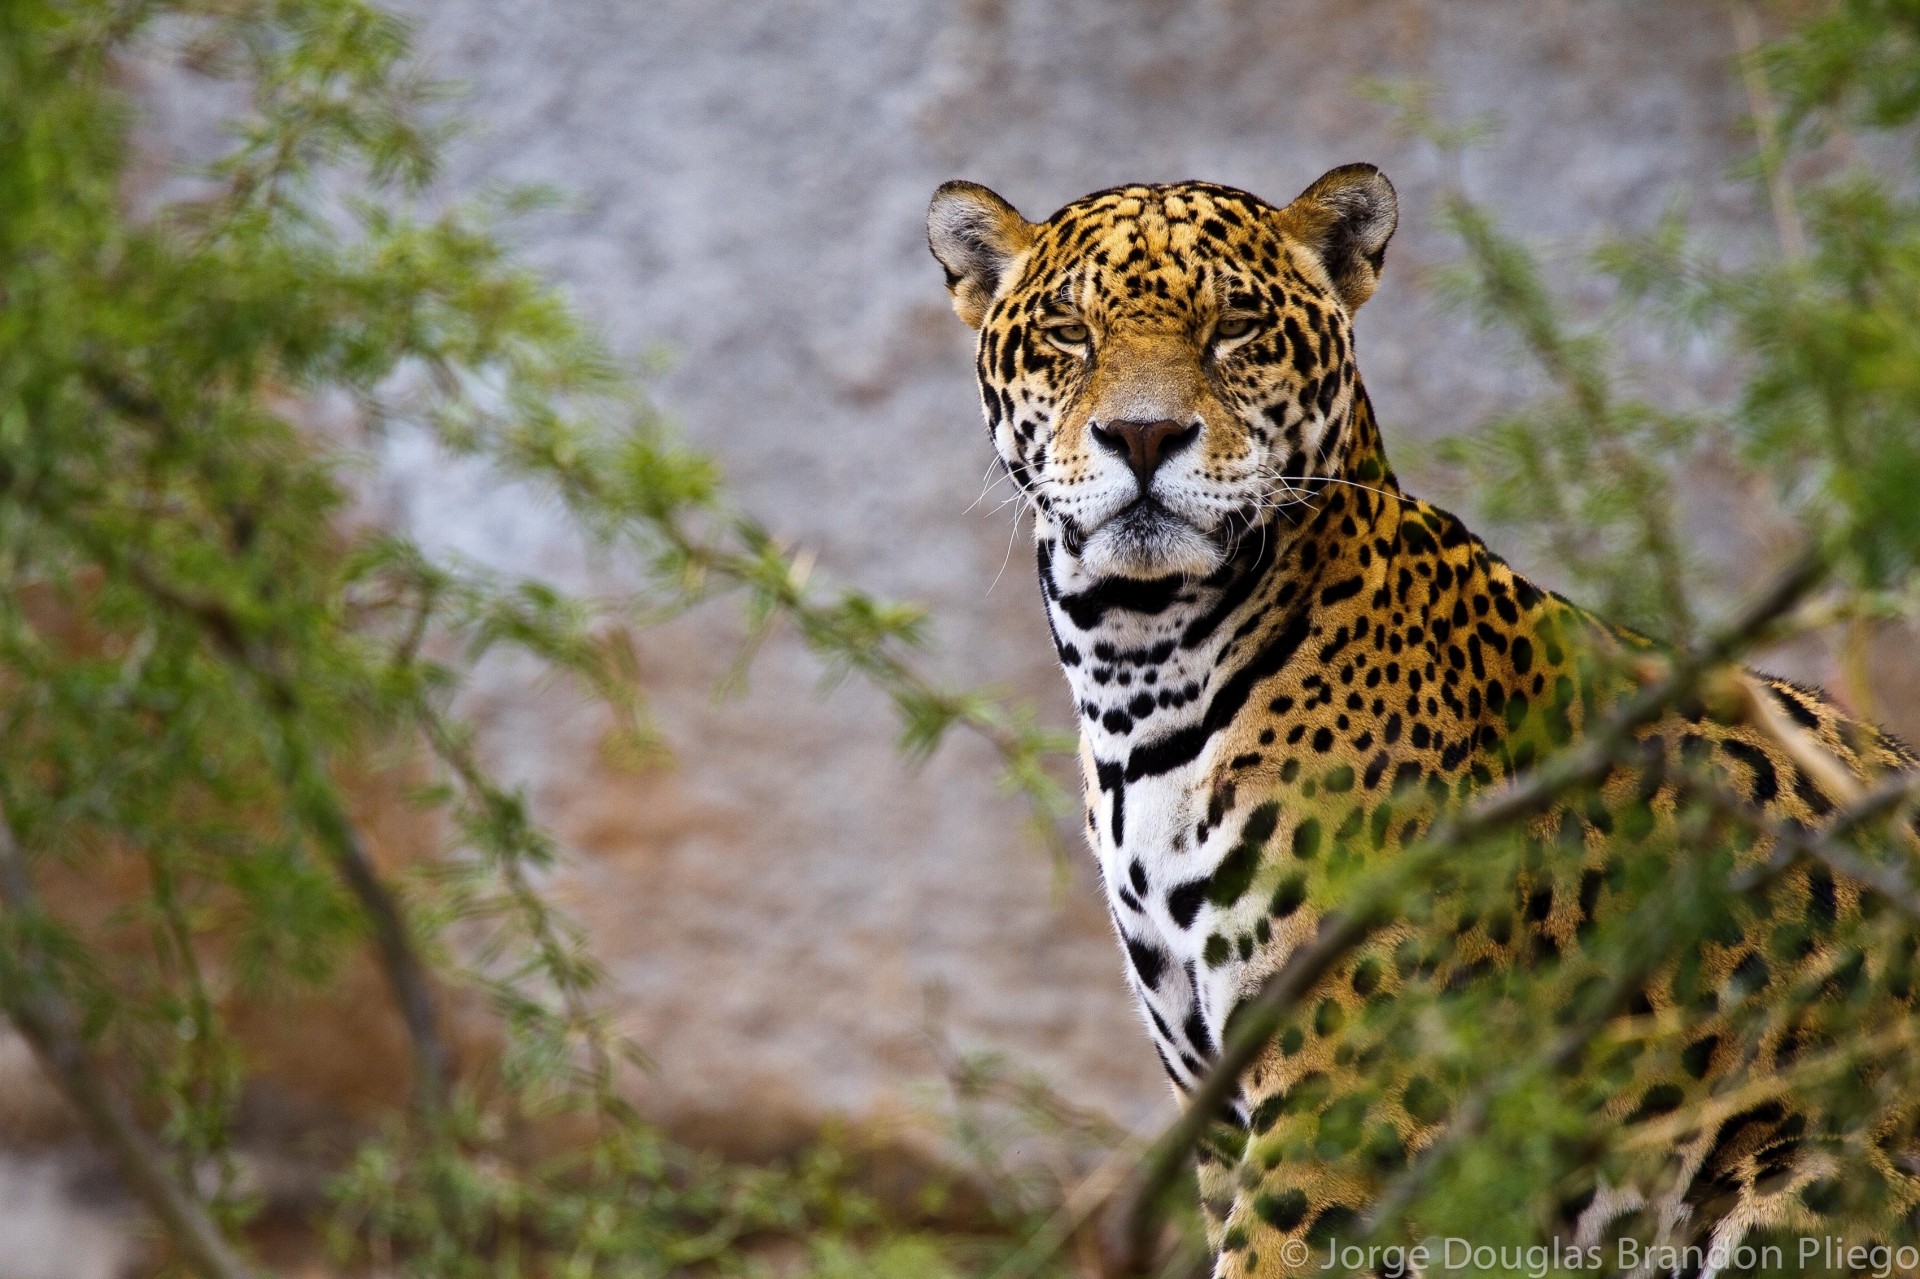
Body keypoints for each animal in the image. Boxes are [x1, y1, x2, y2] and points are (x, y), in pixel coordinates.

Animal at [925, 165, 1920, 1278]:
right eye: (1069, 330)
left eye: (1235, 326)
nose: (1143, 436)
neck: (1143, 671)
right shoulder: (1220, 1111)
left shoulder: (1344, 1094)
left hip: (1795, 1169)